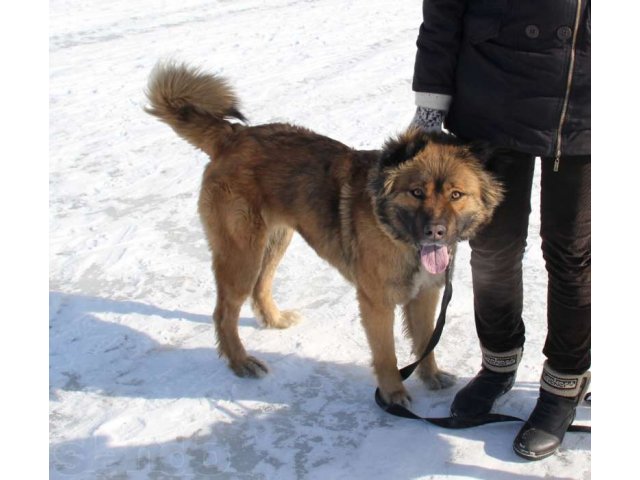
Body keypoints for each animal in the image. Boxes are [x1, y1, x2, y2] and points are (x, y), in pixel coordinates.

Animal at [146, 61, 504, 404]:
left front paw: (431, 376)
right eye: (416, 192)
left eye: (456, 195)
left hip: (274, 241)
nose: (436, 231)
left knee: (260, 287)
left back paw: (274, 320)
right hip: (242, 254)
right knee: (224, 313)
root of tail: (233, 136)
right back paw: (241, 361)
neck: (395, 232)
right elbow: (387, 355)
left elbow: (425, 340)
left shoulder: (425, 293)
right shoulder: (376, 303)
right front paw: (393, 394)